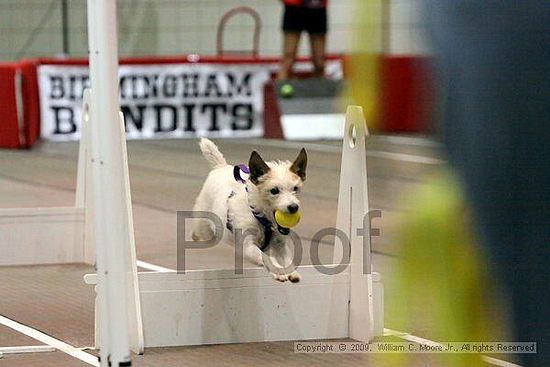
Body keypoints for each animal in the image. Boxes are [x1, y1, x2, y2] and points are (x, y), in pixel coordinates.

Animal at [193, 139, 306, 284]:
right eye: (274, 190)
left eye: (295, 189)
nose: (293, 207)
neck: (263, 218)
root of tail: (221, 166)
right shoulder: (248, 246)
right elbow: (265, 257)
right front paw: (279, 271)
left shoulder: (280, 244)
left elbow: (286, 259)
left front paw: (291, 271)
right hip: (205, 227)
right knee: (200, 230)